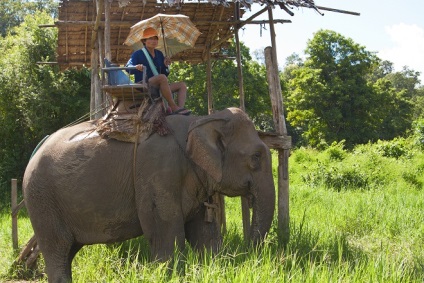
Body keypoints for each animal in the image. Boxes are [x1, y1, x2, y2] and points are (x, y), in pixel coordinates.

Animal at [23, 107, 276, 282]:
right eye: (255, 157)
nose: (249, 253)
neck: (201, 119)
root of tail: (36, 149)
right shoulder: (158, 172)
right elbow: (165, 232)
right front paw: (170, 274)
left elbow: (204, 234)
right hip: (41, 201)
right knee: (57, 248)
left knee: (68, 251)